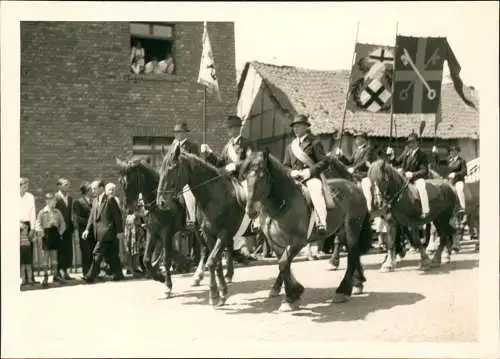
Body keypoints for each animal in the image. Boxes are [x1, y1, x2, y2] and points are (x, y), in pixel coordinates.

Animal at [115, 158, 234, 298]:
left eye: (128, 183)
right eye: (120, 182)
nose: (127, 208)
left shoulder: (166, 232)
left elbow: (166, 258)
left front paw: (167, 285)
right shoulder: (152, 232)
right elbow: (146, 260)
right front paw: (160, 277)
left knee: (220, 246)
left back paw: (227, 274)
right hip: (199, 230)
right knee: (208, 249)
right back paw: (200, 277)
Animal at [155, 145, 256, 308]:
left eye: (172, 168)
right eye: (160, 169)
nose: (161, 202)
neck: (214, 196)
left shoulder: (223, 233)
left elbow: (212, 260)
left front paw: (215, 294)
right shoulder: (208, 234)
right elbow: (215, 262)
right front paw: (221, 292)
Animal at [240, 149, 374, 312]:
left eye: (262, 175)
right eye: (245, 176)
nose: (250, 211)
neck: (283, 203)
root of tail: (353, 185)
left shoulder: (298, 242)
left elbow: (283, 263)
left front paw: (291, 297)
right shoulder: (276, 243)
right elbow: (283, 264)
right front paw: (291, 291)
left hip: (352, 227)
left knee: (353, 254)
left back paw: (343, 291)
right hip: (342, 230)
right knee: (352, 251)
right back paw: (357, 282)